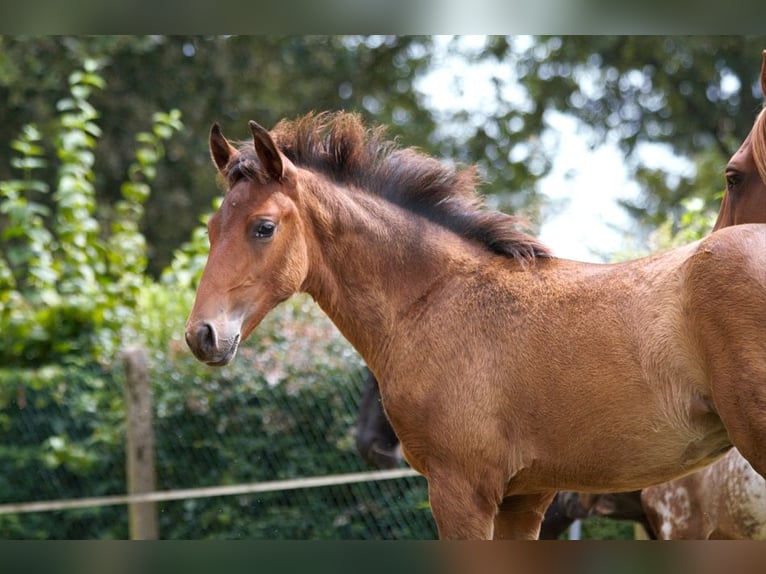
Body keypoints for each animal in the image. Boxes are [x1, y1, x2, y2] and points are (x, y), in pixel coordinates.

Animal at [188, 110, 766, 544]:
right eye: (212, 229)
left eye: (263, 227)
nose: (202, 335)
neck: (437, 297)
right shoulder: (525, 497)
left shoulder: (460, 489)